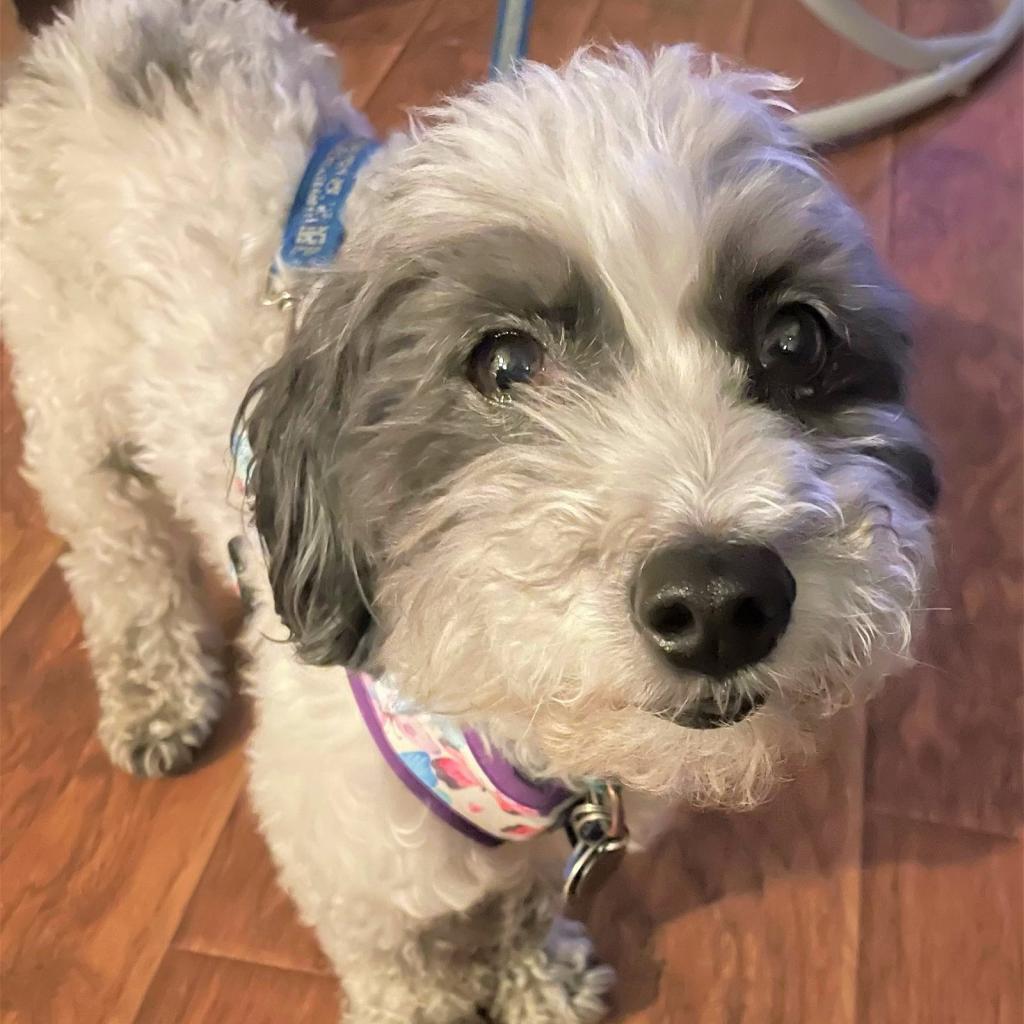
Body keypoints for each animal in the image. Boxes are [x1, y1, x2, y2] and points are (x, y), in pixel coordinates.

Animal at [4, 0, 937, 1019]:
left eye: (795, 339)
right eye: (505, 363)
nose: (720, 600)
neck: (502, 726)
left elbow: (519, 908)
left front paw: (535, 976)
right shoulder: (348, 856)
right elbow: (401, 961)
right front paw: (425, 1000)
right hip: (76, 417)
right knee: (119, 558)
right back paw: (156, 691)